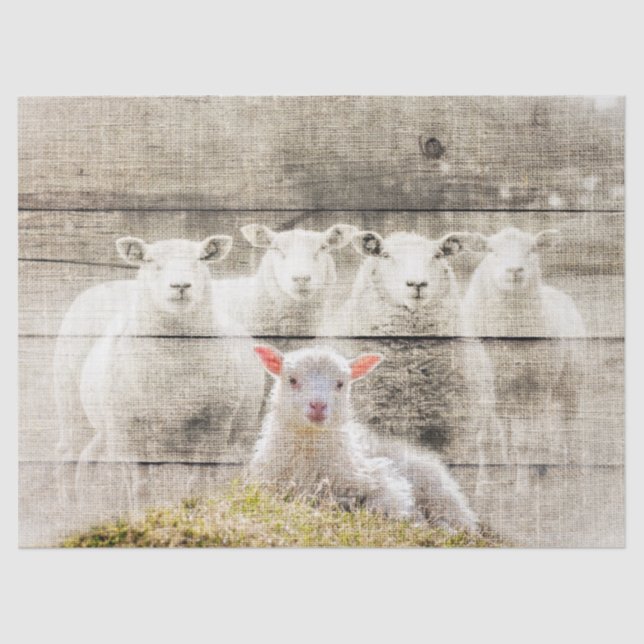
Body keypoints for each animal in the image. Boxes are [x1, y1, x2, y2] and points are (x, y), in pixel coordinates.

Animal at [55, 235, 265, 509]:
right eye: (150, 260)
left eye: (200, 259)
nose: (181, 285)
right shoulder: (130, 428)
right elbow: (141, 487)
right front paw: (142, 515)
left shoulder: (215, 424)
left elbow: (198, 483)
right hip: (79, 407)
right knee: (74, 454)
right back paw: (74, 507)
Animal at [248, 345, 477, 531]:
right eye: (292, 380)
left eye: (340, 384)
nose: (318, 406)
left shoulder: (384, 480)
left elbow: (383, 506)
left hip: (438, 491)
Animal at [460, 227, 587, 493]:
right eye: (491, 250)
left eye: (532, 249)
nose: (515, 270)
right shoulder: (484, 388)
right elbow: (485, 439)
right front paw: (483, 485)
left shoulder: (533, 387)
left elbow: (526, 442)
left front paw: (523, 489)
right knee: (507, 428)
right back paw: (511, 466)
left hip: (568, 382)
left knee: (566, 424)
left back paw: (569, 470)